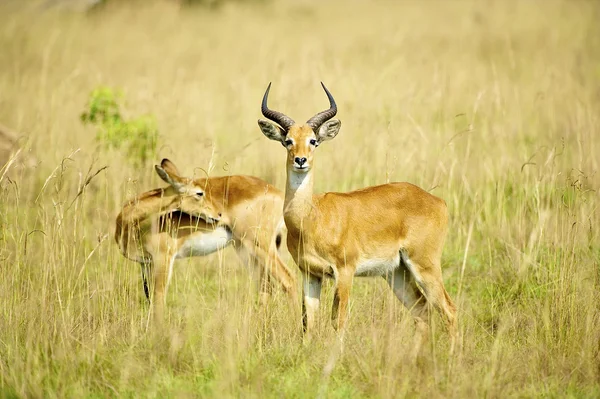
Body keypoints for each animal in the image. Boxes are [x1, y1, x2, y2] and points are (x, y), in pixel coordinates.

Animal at [115, 159, 298, 322]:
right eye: (199, 192)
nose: (218, 214)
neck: (131, 221)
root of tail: (277, 193)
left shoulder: (164, 258)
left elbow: (158, 299)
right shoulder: (145, 262)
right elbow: (150, 298)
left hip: (260, 246)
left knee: (289, 280)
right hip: (245, 250)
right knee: (266, 287)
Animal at [255, 83, 458, 352]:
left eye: (313, 141)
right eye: (288, 141)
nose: (300, 160)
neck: (312, 218)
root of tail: (437, 201)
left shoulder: (344, 271)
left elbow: (337, 319)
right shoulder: (310, 274)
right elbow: (308, 320)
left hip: (424, 265)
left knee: (449, 309)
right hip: (397, 272)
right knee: (422, 310)